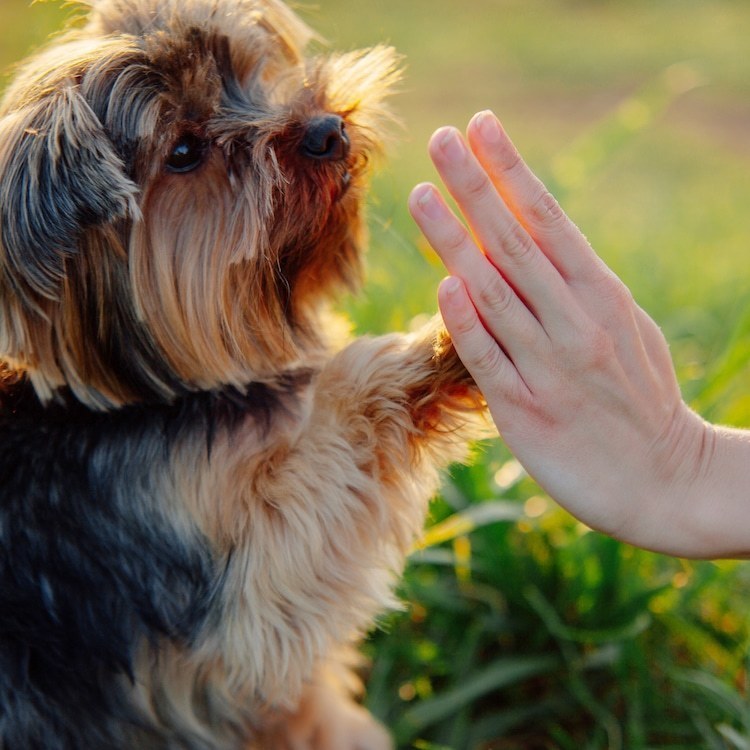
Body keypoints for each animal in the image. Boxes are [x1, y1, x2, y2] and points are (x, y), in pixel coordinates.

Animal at [0, 2, 488, 748]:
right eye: (183, 152)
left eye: (250, 74)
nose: (326, 129)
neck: (148, 396)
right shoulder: (228, 589)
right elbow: (301, 518)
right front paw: (443, 343)